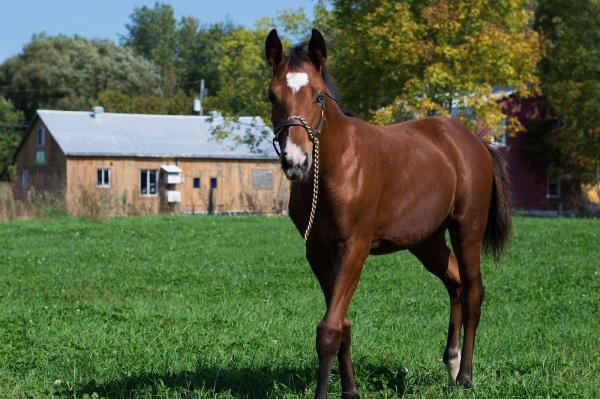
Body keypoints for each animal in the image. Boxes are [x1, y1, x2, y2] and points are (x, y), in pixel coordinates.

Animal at [266, 28, 510, 399]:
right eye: (271, 96)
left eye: (319, 97)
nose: (296, 162)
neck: (339, 167)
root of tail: (474, 142)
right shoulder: (317, 253)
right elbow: (342, 325)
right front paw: (350, 391)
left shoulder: (355, 249)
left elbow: (329, 329)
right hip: (427, 241)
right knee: (454, 283)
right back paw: (452, 363)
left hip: (467, 228)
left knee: (472, 291)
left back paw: (466, 376)